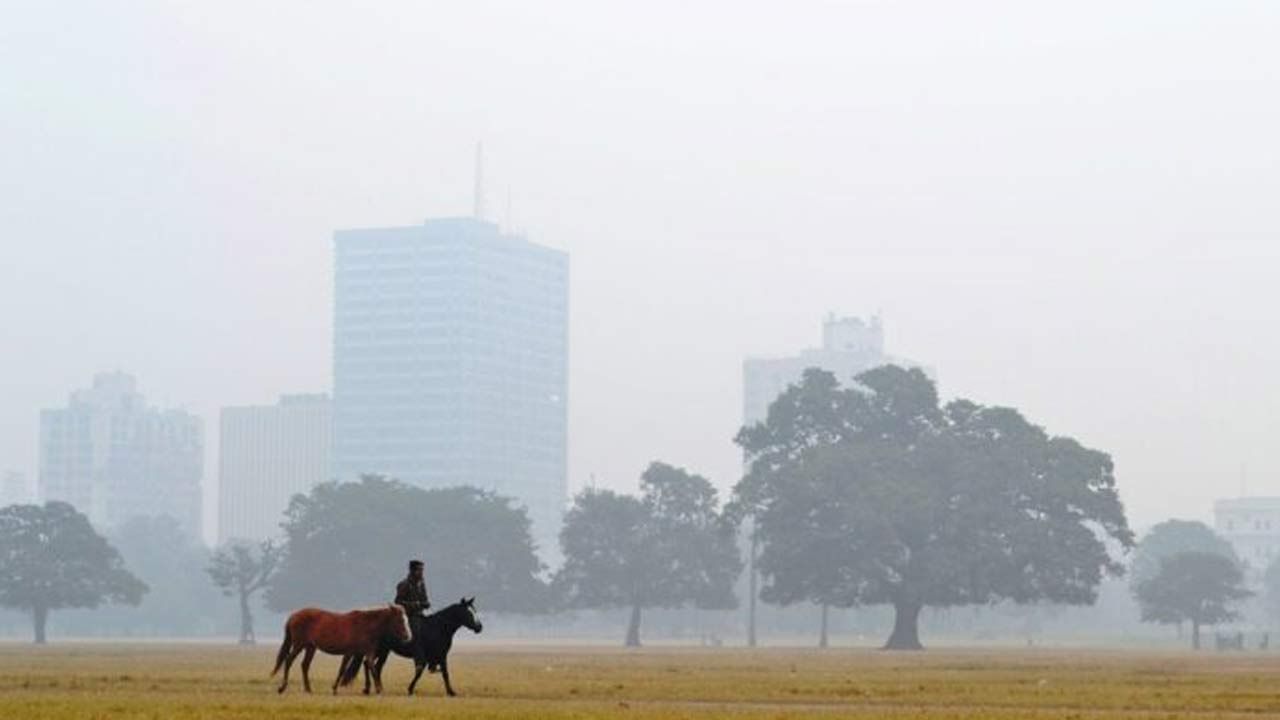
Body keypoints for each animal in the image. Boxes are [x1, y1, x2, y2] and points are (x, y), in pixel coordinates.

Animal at [270, 602, 409, 691]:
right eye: (400, 620)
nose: (408, 636)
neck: (365, 625)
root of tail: (293, 616)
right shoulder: (350, 652)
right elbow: (344, 669)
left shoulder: (366, 652)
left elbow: (370, 667)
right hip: (299, 644)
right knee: (289, 660)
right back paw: (282, 687)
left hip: (310, 647)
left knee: (304, 665)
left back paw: (308, 689)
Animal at [340, 594, 481, 696]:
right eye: (468, 612)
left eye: (474, 610)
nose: (479, 627)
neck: (437, 627)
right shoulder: (420, 655)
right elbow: (419, 670)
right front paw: (410, 689)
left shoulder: (442, 655)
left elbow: (445, 673)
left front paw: (451, 692)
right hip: (379, 650)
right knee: (368, 664)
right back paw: (369, 688)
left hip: (385, 651)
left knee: (375, 666)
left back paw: (376, 688)